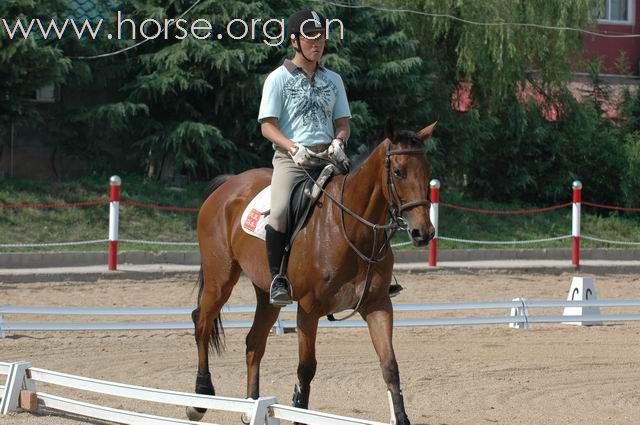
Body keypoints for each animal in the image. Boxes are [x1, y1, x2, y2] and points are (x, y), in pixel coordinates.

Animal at [185, 121, 436, 422]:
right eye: (398, 172)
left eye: (428, 171)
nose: (423, 233)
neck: (351, 227)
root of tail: (228, 184)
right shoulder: (308, 309)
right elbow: (306, 368)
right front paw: (298, 411)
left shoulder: (378, 305)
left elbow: (390, 365)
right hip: (220, 279)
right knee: (202, 322)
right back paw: (200, 398)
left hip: (266, 294)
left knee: (254, 342)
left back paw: (251, 405)